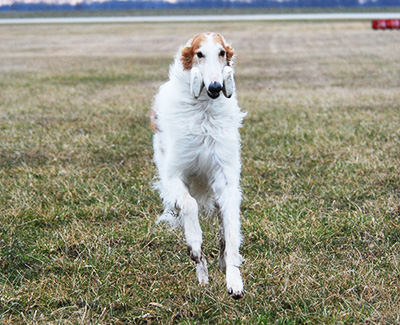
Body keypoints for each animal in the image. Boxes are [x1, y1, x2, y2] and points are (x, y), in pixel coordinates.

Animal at [150, 31, 245, 298]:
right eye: (199, 53)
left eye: (222, 52)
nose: (215, 87)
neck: (204, 112)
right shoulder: (174, 176)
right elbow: (189, 205)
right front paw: (195, 245)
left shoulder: (226, 177)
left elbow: (231, 232)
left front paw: (234, 281)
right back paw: (202, 274)